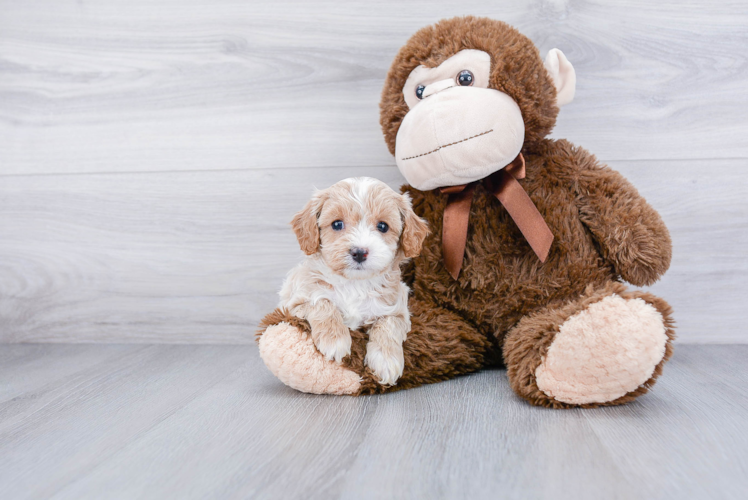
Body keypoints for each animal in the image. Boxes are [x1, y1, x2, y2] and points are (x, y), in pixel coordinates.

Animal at [280, 178, 432, 384]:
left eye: (383, 226)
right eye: (337, 224)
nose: (359, 252)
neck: (355, 283)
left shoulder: (398, 311)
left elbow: (388, 325)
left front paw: (386, 360)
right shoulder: (295, 302)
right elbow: (322, 302)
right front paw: (334, 340)